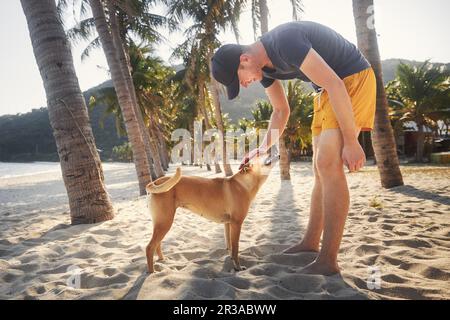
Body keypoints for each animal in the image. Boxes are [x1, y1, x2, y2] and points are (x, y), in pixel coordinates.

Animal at [145, 154, 278, 274]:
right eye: (260, 154)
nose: (271, 150)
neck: (244, 183)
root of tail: (157, 181)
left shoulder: (228, 224)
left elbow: (230, 246)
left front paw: (231, 261)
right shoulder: (236, 224)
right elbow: (235, 249)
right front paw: (238, 268)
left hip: (161, 223)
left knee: (157, 244)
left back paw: (162, 260)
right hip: (165, 222)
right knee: (150, 247)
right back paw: (152, 273)